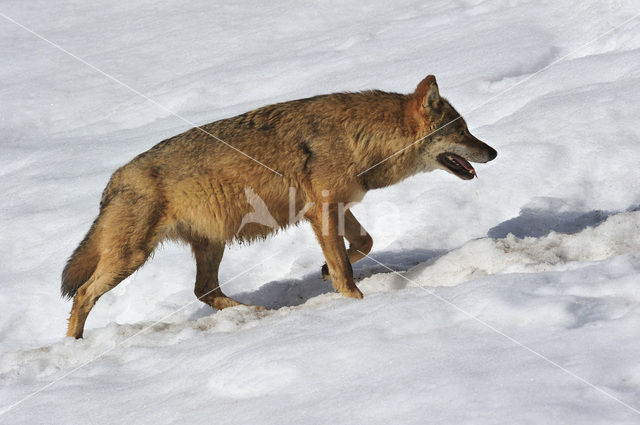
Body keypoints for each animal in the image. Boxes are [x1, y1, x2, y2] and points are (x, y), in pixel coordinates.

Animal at [62, 74, 498, 336]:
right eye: (462, 131)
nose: (493, 152)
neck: (359, 139)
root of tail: (114, 180)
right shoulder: (323, 211)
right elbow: (346, 270)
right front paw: (355, 305)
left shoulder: (336, 208)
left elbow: (364, 243)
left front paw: (323, 272)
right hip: (132, 258)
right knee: (82, 294)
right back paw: (75, 347)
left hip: (210, 244)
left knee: (203, 290)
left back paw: (253, 313)